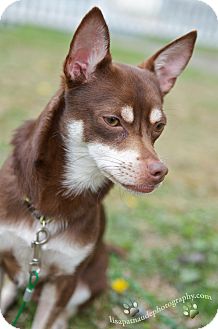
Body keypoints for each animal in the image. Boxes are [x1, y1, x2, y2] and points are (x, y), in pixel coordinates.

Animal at [0, 5, 197, 328]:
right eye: (113, 120)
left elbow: (46, 319)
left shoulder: (65, 279)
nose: (161, 172)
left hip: (86, 282)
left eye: (159, 127)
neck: (47, 211)